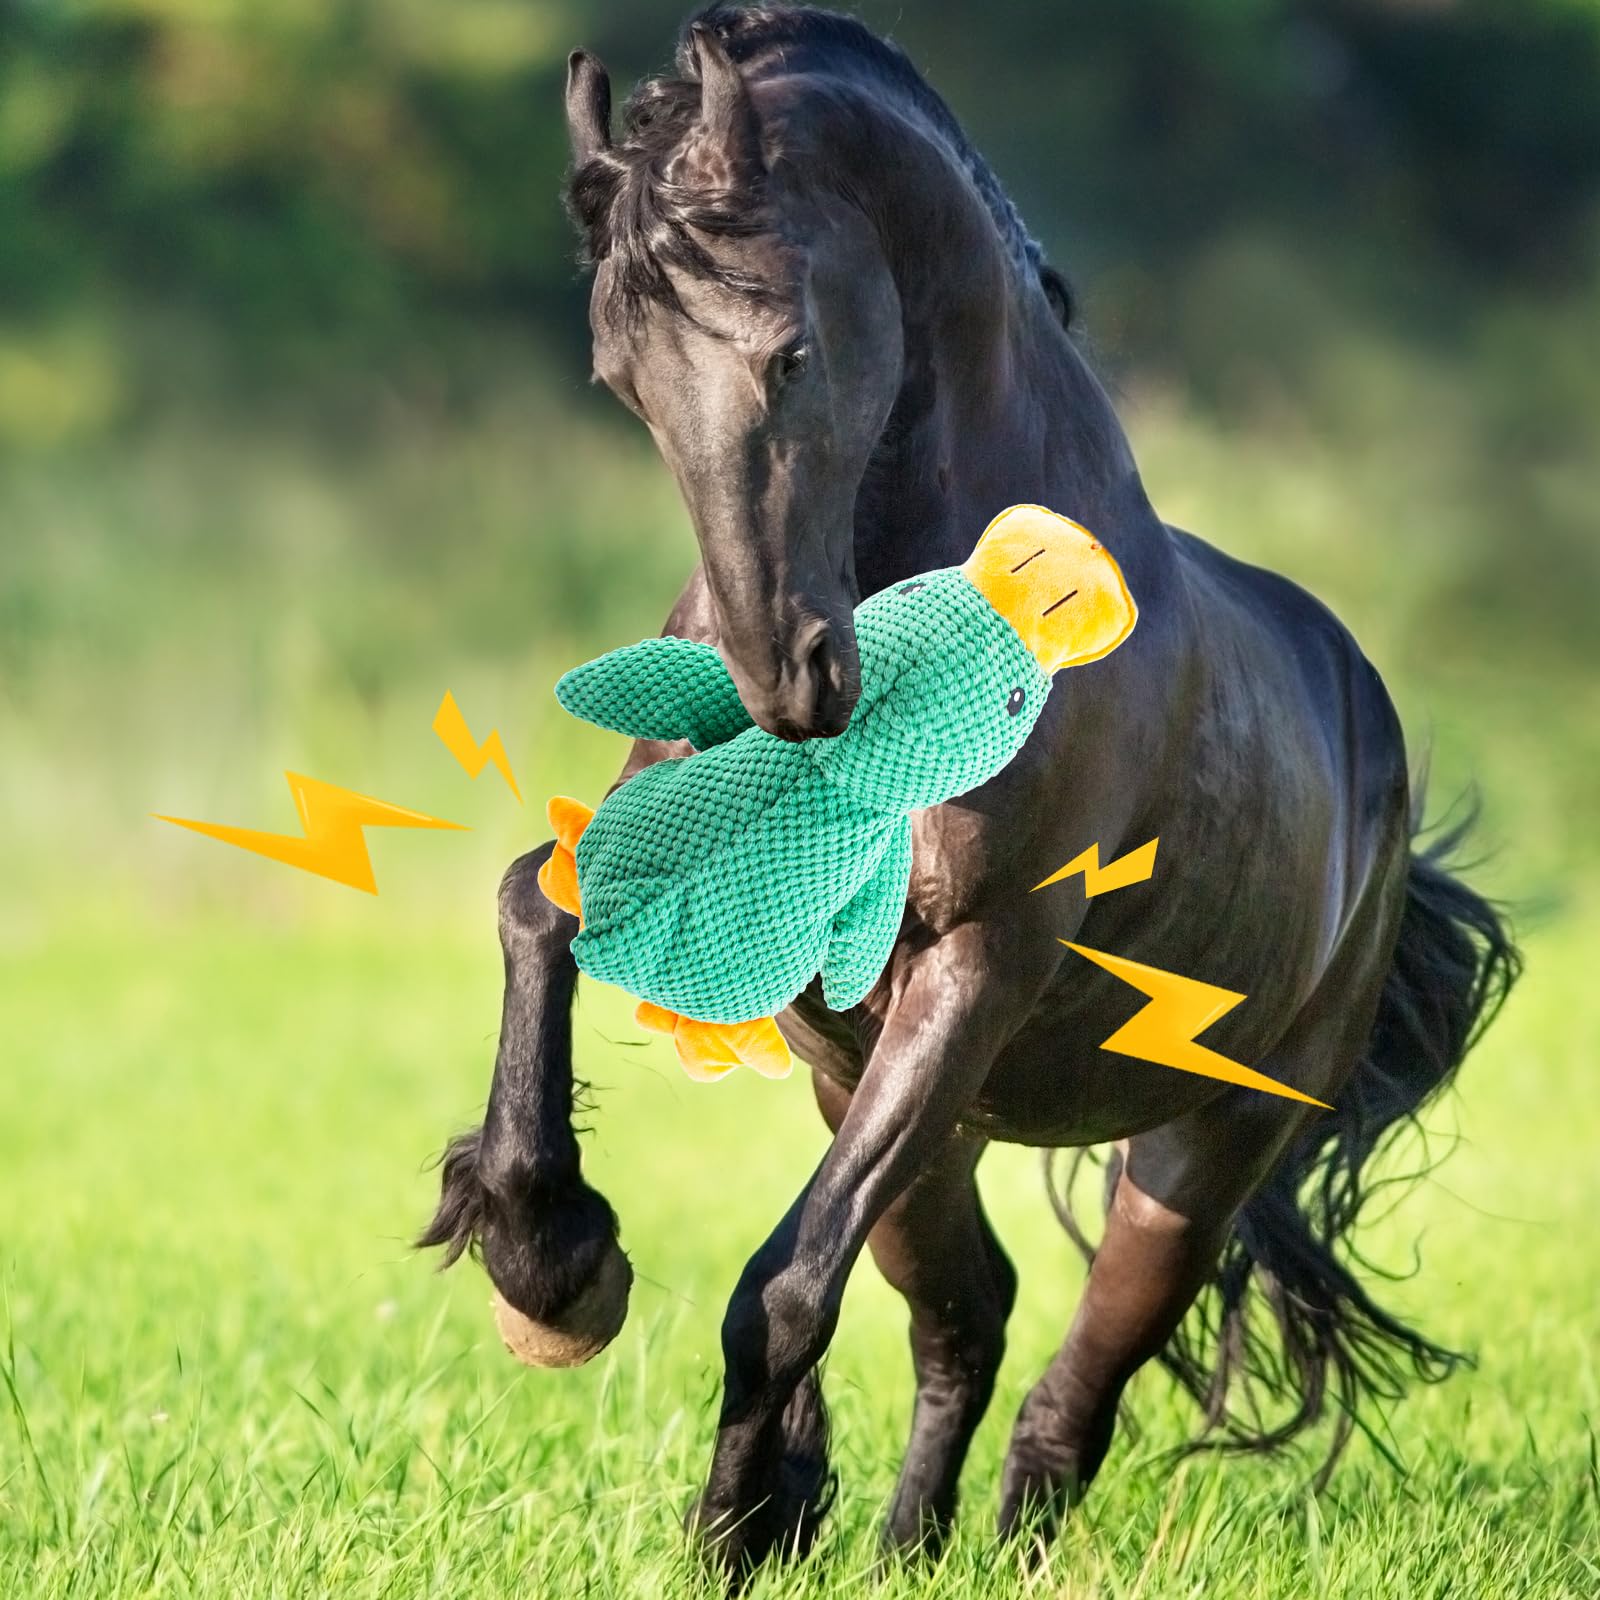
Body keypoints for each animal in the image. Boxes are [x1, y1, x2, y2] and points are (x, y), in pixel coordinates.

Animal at [420, 4, 1519, 1579]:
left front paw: (724, 1531)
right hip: (896, 1112)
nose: (789, 683)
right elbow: (536, 900)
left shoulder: (977, 961)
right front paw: (549, 1266)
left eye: (791, 354)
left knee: (1073, 1384)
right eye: (621, 382)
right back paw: (899, 1548)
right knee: (971, 1315)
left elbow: (780, 1298)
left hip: (1193, 1152)